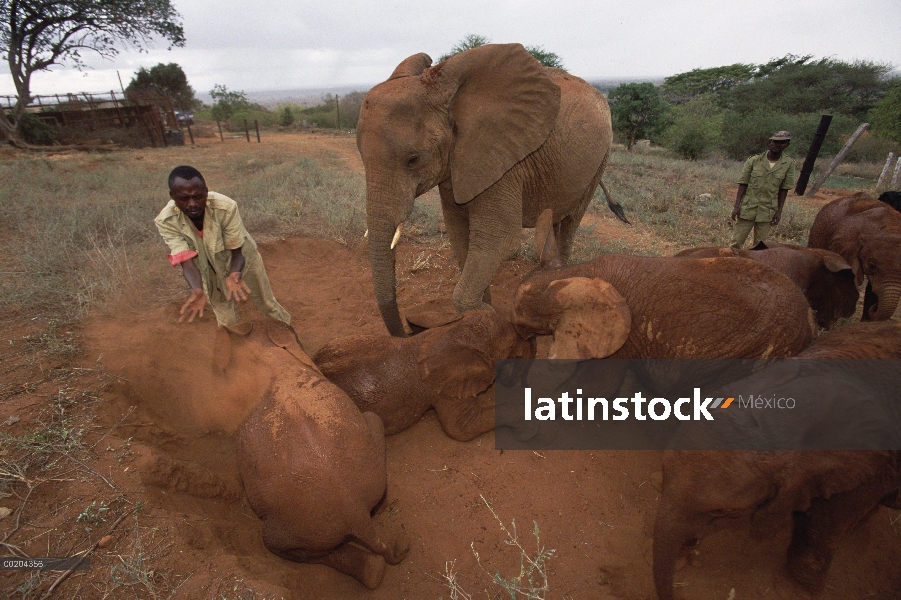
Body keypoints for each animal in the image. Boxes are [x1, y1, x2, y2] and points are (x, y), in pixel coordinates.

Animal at [356, 42, 624, 338]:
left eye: (413, 159)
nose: (409, 331)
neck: (450, 98)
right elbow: (461, 237)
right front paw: (484, 312)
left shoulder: (502, 159)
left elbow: (498, 240)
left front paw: (489, 316)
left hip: (601, 158)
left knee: (569, 224)